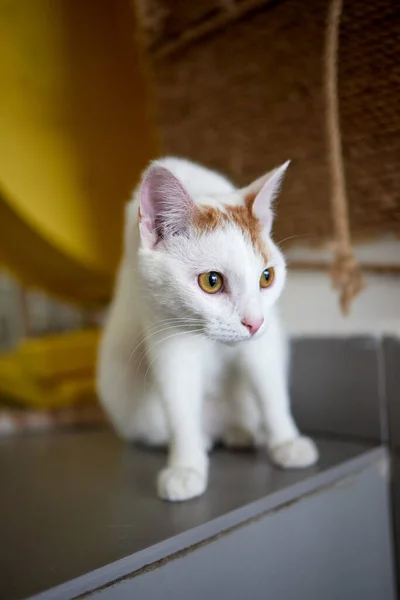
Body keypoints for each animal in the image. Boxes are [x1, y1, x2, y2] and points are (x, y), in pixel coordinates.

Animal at [97, 156, 318, 502]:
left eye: (267, 277)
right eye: (211, 281)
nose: (254, 323)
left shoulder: (264, 342)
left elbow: (270, 388)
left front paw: (286, 441)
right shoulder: (166, 333)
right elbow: (180, 404)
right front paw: (186, 467)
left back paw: (245, 433)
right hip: (136, 410)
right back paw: (205, 440)